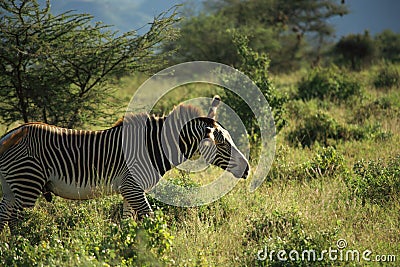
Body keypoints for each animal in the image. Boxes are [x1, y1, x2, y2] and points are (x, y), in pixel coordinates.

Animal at [0, 96, 248, 232]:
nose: (247, 169)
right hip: (28, 184)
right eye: (222, 143)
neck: (154, 146)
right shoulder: (133, 187)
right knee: (16, 223)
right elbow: (150, 219)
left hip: (11, 188)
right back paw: (22, 249)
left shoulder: (129, 191)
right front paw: (157, 247)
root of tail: (10, 135)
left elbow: (128, 223)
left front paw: (125, 248)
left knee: (4, 218)